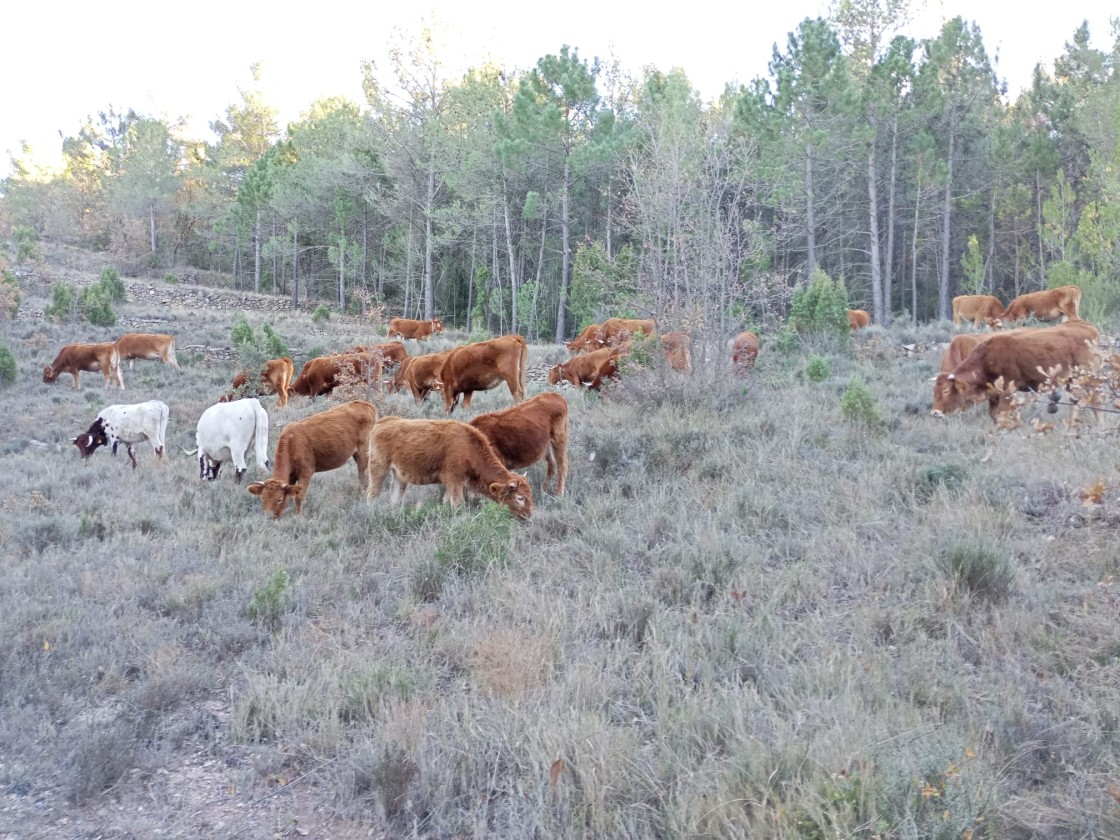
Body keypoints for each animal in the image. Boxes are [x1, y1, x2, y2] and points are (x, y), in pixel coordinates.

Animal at [247, 398, 378, 517]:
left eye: (279, 499)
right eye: (263, 499)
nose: (268, 516)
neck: (291, 443)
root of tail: (365, 404)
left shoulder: (306, 472)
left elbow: (299, 497)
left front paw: (298, 516)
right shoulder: (292, 475)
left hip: (364, 451)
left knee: (363, 474)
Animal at [367, 416, 533, 519]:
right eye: (520, 498)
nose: (530, 516)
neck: (469, 447)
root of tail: (383, 422)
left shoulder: (451, 485)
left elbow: (447, 503)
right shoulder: (454, 481)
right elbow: (458, 504)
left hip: (399, 476)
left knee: (395, 496)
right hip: (378, 468)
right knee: (372, 494)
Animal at [927, 318, 1102, 421]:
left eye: (946, 391)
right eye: (934, 391)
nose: (935, 412)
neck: (987, 358)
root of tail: (1083, 324)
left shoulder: (1007, 391)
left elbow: (1003, 414)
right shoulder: (994, 395)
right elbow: (995, 415)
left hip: (1090, 378)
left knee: (1096, 401)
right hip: (1071, 382)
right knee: (1075, 403)